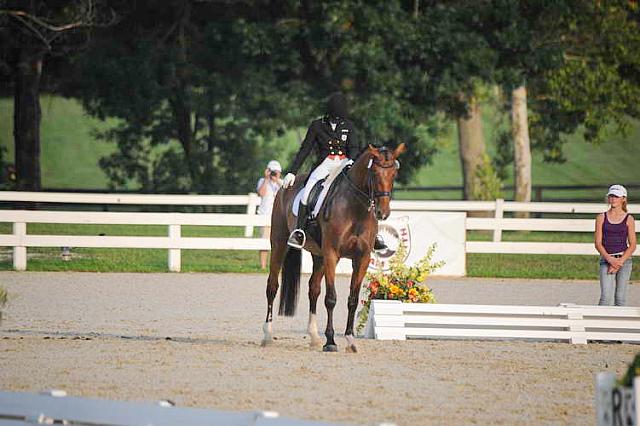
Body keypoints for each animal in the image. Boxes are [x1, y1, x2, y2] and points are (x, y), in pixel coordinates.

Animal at [262, 143, 408, 352]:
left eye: (394, 174)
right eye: (374, 173)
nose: (383, 212)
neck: (356, 209)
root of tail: (284, 189)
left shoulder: (361, 259)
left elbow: (352, 299)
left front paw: (350, 339)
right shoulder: (332, 255)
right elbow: (331, 298)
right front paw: (330, 341)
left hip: (319, 256)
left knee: (313, 289)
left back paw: (314, 337)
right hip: (280, 244)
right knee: (272, 286)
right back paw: (268, 334)